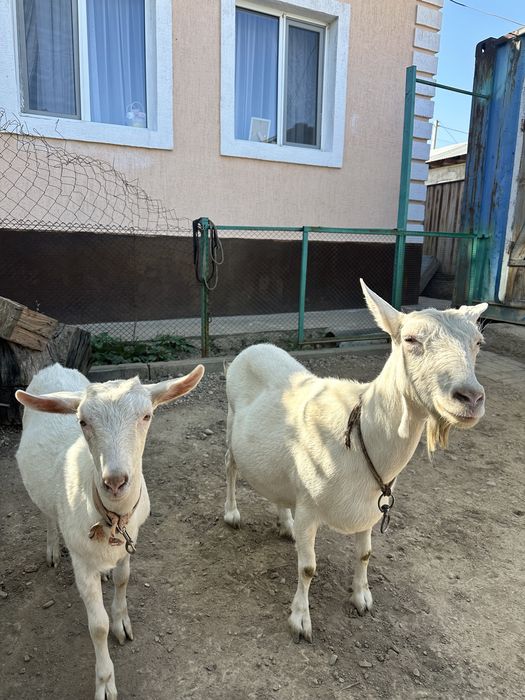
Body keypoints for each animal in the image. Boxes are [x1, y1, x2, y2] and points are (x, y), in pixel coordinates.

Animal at [15, 362, 204, 699]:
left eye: (147, 415)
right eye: (82, 421)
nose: (115, 481)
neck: (113, 519)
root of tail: (54, 367)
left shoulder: (132, 540)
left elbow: (123, 579)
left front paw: (122, 623)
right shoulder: (80, 560)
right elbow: (97, 626)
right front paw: (104, 682)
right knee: (47, 514)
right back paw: (52, 549)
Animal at [223, 280, 487, 642]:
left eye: (478, 343)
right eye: (410, 340)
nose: (470, 397)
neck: (361, 433)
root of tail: (255, 347)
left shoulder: (370, 508)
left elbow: (364, 553)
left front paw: (362, 597)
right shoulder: (310, 508)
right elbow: (307, 567)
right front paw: (300, 620)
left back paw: (285, 524)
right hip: (231, 424)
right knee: (230, 467)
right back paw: (231, 513)